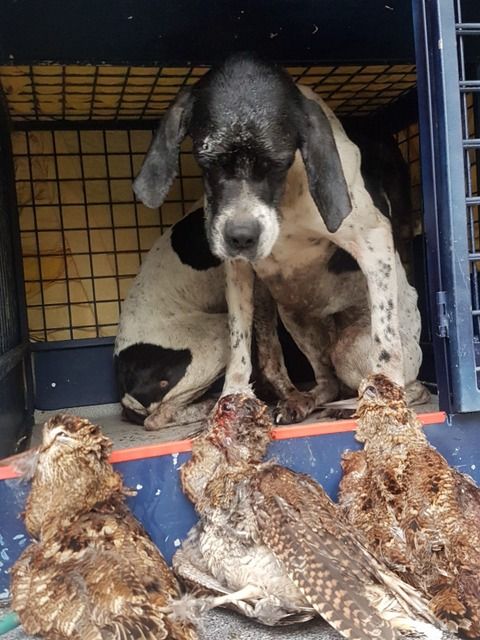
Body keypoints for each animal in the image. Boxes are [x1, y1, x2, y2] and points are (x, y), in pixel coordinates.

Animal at [117, 53, 428, 424]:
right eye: (208, 163)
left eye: (277, 162)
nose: (241, 237)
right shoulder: (245, 276)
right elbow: (253, 353)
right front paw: (239, 398)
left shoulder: (372, 238)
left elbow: (386, 344)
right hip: (285, 319)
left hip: (347, 344)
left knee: (402, 382)